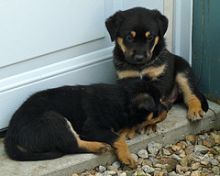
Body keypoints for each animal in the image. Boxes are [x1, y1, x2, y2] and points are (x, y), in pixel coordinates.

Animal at [4, 79, 167, 168]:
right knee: (72, 145)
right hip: (54, 119)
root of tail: (10, 133)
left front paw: (129, 130)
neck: (121, 100)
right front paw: (126, 156)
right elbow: (117, 138)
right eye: (159, 103)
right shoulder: (91, 128)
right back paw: (99, 146)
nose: (167, 109)